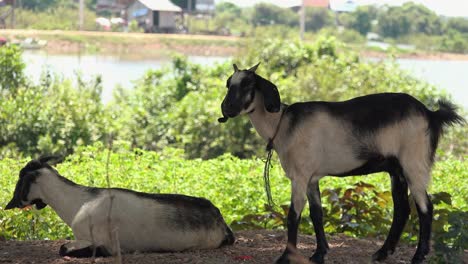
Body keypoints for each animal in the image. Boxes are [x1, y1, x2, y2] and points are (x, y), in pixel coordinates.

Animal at [4, 157, 234, 258]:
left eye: (20, 179)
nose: (10, 204)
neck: (78, 202)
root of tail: (220, 220)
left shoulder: (105, 244)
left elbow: (63, 248)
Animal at [218, 63, 462, 264]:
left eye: (249, 84)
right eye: (228, 84)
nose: (226, 108)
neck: (283, 123)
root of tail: (431, 114)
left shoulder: (300, 176)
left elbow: (294, 215)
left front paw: (286, 256)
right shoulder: (311, 177)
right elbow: (316, 214)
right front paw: (319, 254)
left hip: (414, 164)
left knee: (425, 208)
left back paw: (418, 256)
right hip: (397, 171)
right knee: (402, 209)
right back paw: (382, 253)